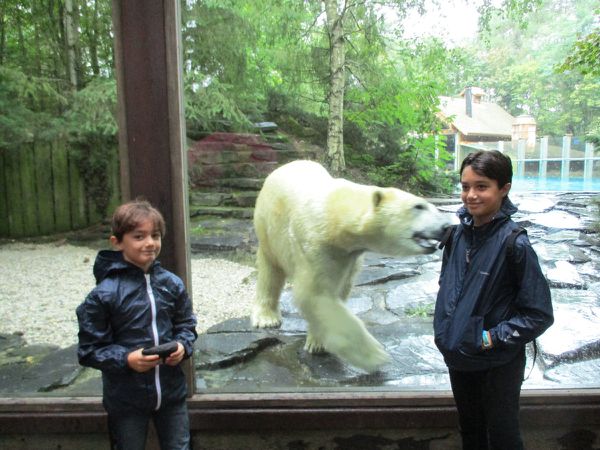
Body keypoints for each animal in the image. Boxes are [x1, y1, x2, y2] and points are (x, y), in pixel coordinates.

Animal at [251, 160, 452, 370]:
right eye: (418, 206)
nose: (446, 226)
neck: (336, 212)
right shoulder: (314, 243)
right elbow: (315, 294)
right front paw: (375, 355)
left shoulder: (348, 256)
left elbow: (337, 291)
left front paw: (318, 340)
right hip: (268, 228)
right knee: (270, 271)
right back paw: (266, 318)